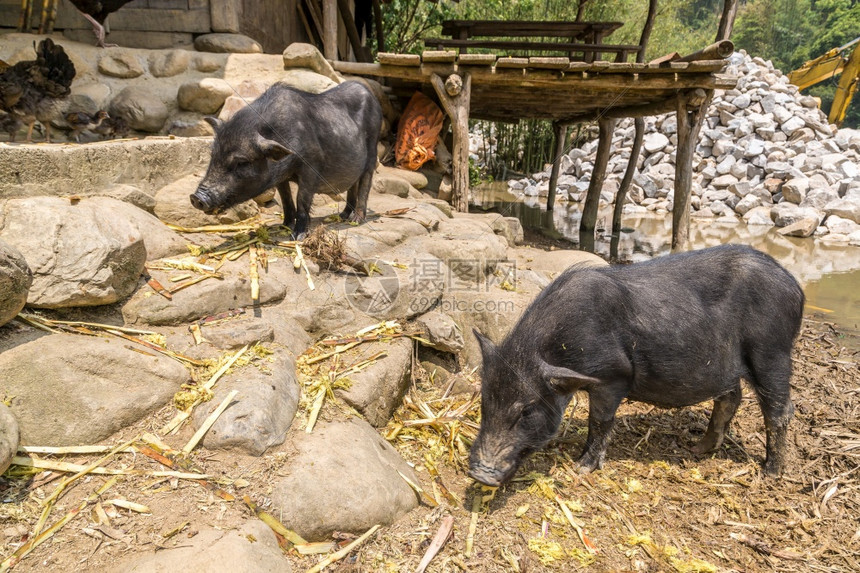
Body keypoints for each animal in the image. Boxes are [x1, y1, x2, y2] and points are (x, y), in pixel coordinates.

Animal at [195, 80, 386, 237]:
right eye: (213, 155)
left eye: (241, 163)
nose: (196, 197)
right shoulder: (280, 175)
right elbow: (286, 199)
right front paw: (284, 227)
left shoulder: (312, 165)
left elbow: (302, 198)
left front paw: (297, 236)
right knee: (353, 183)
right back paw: (343, 215)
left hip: (372, 148)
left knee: (366, 181)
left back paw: (356, 220)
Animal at [466, 244, 804, 484]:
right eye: (485, 403)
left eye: (526, 410)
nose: (479, 474)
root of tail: (795, 286)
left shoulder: (613, 376)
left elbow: (600, 421)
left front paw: (580, 469)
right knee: (732, 397)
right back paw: (697, 449)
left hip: (772, 351)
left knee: (780, 411)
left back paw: (770, 473)